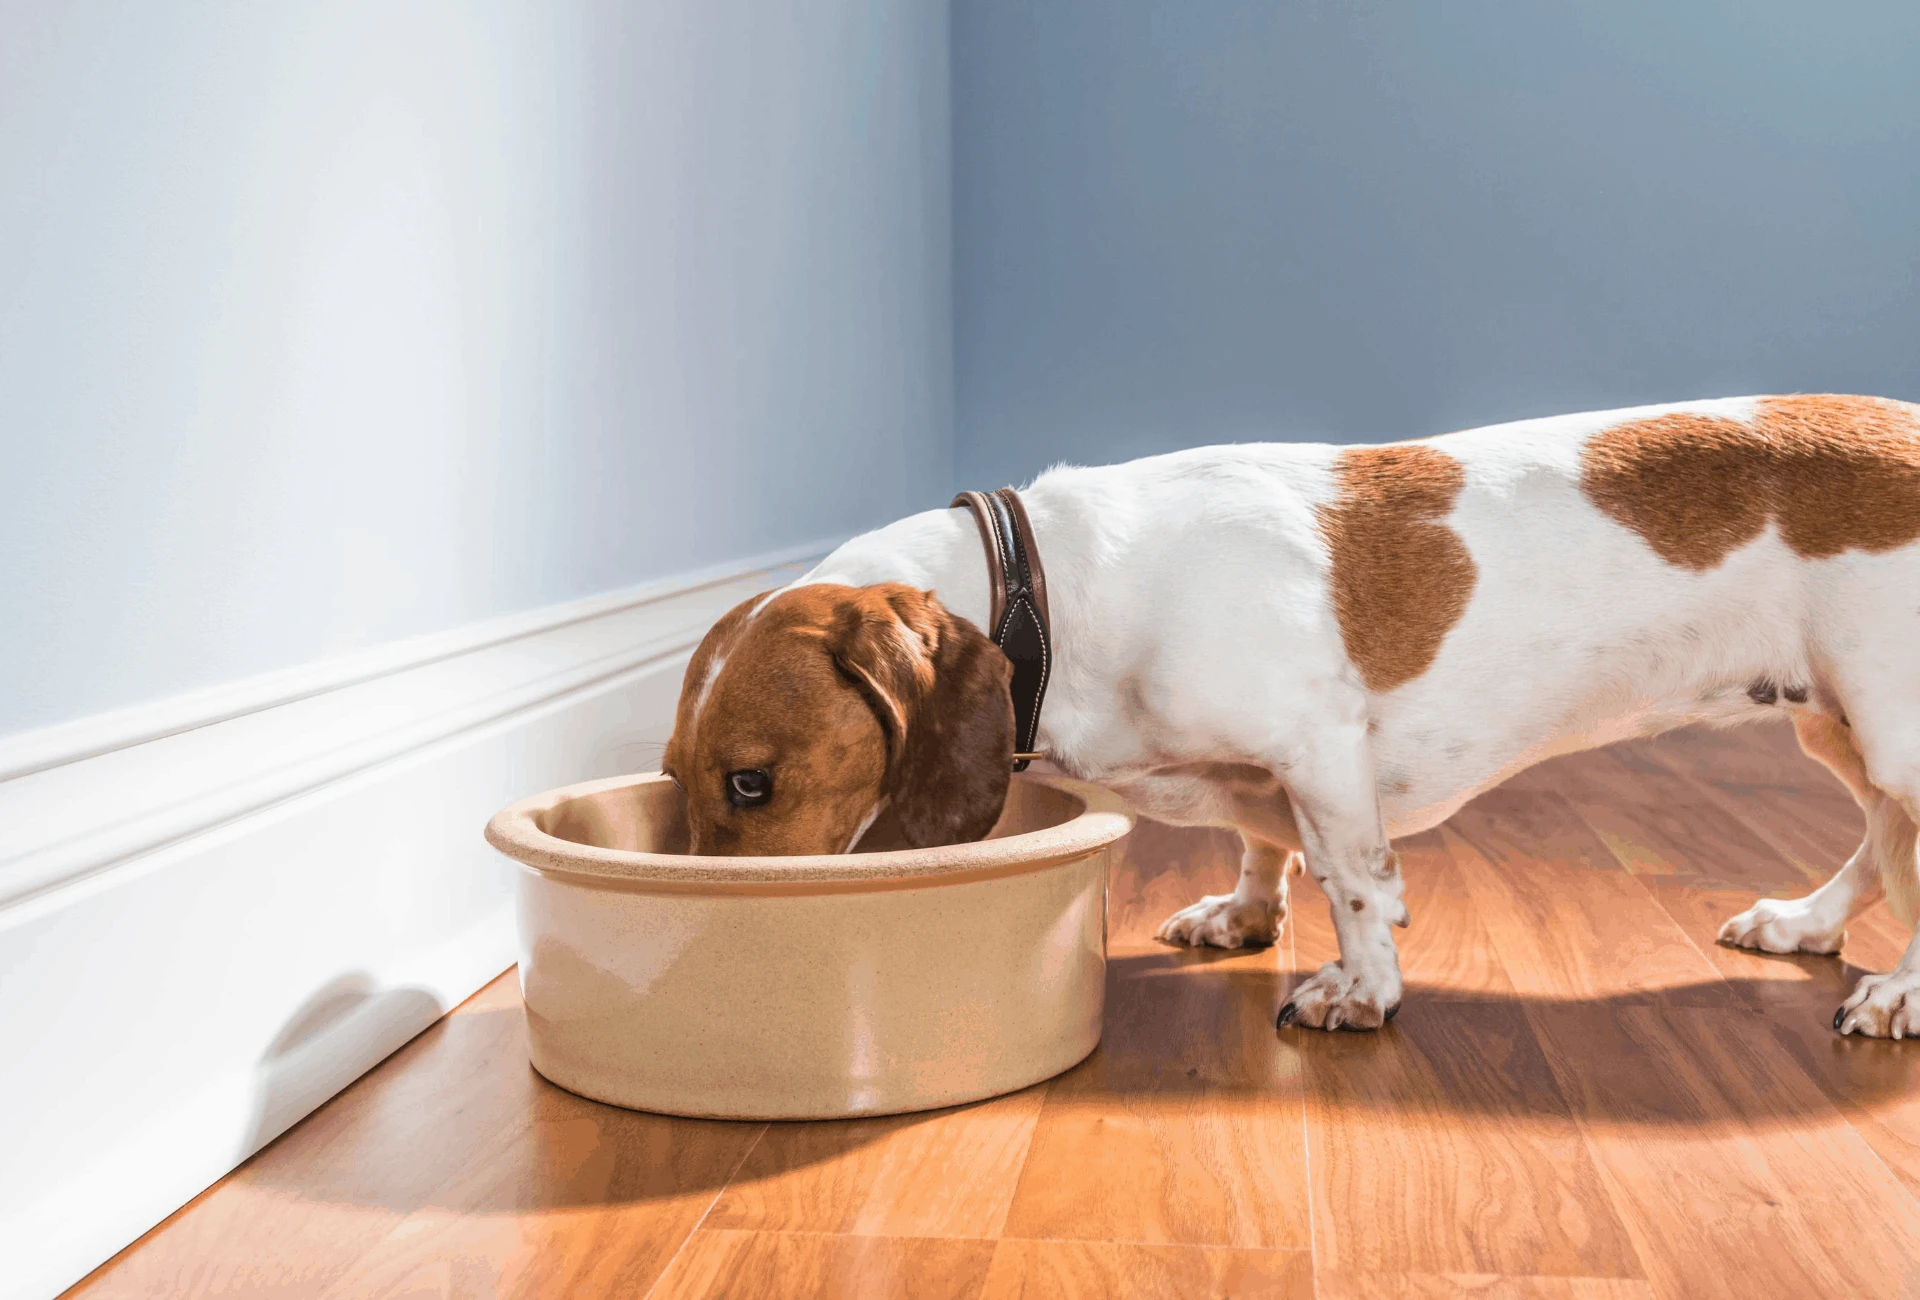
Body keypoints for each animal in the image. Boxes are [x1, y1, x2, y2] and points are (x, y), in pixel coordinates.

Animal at [664, 393, 1920, 1036]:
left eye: (751, 781)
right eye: (677, 775)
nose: (714, 946)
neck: (1055, 589)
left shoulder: (1320, 749)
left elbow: (1352, 879)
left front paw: (1362, 989)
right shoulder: (1262, 777)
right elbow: (1260, 842)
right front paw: (1243, 911)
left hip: (1894, 733)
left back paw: (1896, 993)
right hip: (1838, 728)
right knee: (1874, 849)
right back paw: (1805, 924)